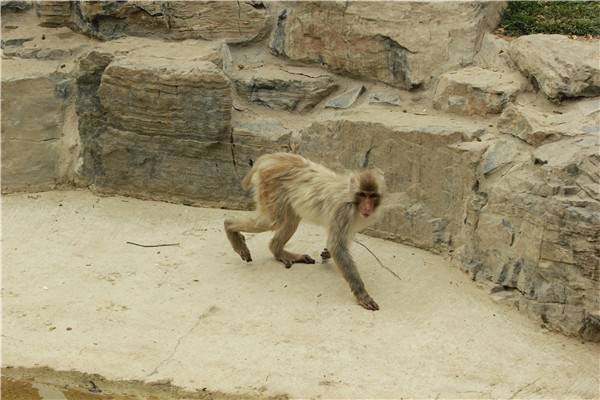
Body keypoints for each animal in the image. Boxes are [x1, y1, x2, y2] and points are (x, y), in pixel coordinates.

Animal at [224, 152, 384, 310]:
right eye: (362, 194)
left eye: (373, 195)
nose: (367, 207)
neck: (352, 199)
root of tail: (270, 158)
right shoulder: (343, 211)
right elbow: (337, 246)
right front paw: (362, 295)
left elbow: (340, 242)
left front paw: (327, 253)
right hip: (270, 187)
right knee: (273, 221)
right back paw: (230, 227)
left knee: (291, 220)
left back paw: (278, 251)